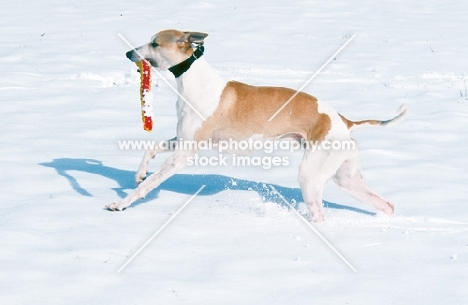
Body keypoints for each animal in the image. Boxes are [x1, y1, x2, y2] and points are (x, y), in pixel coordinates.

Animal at [106, 29, 406, 221]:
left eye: (155, 44)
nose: (128, 53)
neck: (196, 82)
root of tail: (344, 120)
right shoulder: (182, 140)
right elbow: (150, 149)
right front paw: (138, 174)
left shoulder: (184, 154)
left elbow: (149, 185)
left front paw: (121, 203)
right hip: (345, 176)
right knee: (387, 203)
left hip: (311, 173)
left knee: (320, 214)